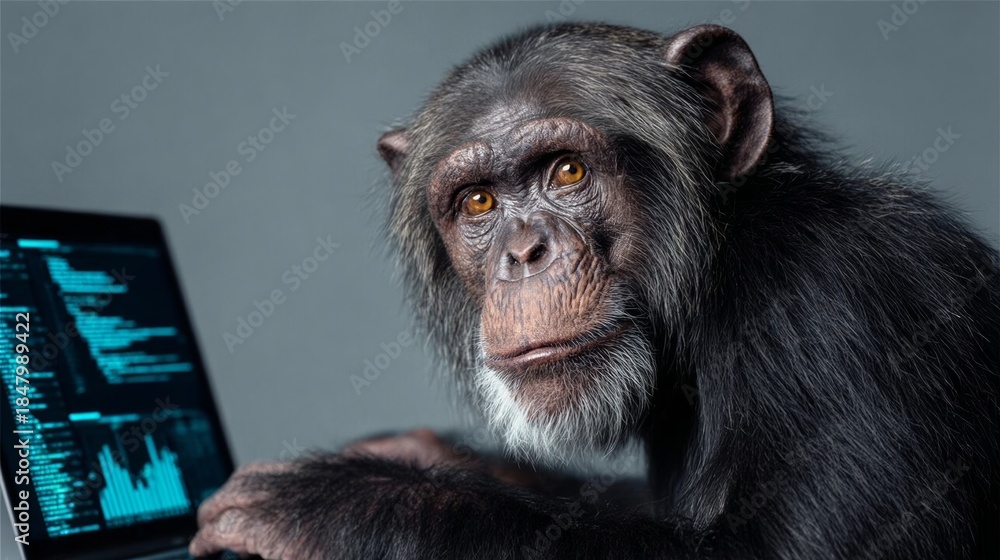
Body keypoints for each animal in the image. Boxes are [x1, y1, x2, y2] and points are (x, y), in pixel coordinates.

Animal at [190, 23, 999, 559]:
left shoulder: (848, 304)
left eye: (568, 171)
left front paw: (337, 500)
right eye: (479, 202)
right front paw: (418, 453)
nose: (524, 252)